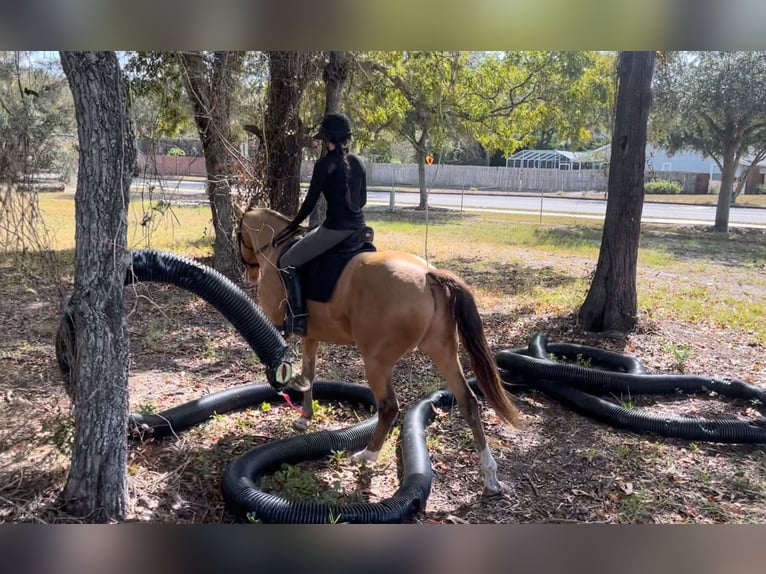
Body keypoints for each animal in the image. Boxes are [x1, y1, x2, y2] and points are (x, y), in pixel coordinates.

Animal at [237, 207, 520, 496]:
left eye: (239, 233)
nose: (249, 274)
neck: (275, 247)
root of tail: (428, 275)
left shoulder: (280, 327)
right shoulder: (311, 335)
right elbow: (309, 374)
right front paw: (305, 417)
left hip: (376, 361)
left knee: (388, 407)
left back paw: (367, 455)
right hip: (443, 351)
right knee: (468, 401)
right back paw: (490, 476)